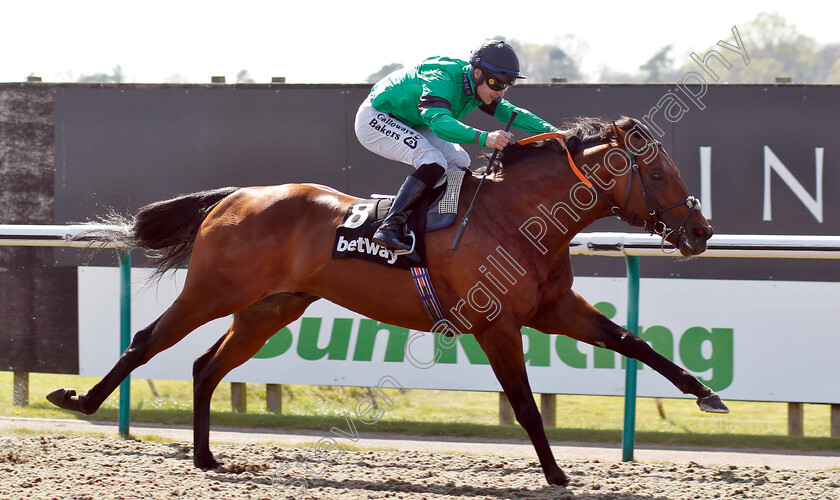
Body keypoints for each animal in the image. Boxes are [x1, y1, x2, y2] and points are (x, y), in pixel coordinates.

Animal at [49, 115, 724, 486]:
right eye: (657, 173)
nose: (701, 231)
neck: (518, 218)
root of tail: (236, 196)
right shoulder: (497, 326)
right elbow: (527, 406)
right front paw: (557, 474)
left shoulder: (553, 310)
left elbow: (633, 342)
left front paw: (707, 394)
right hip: (214, 290)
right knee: (146, 342)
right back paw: (79, 401)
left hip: (270, 308)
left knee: (204, 367)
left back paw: (207, 457)